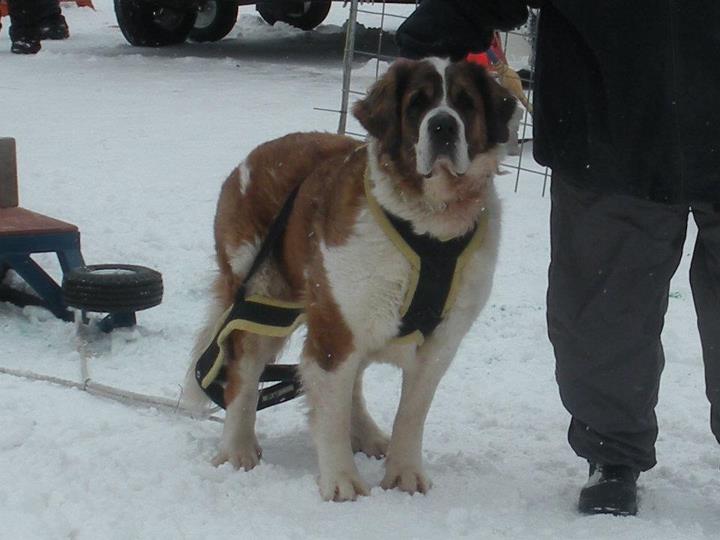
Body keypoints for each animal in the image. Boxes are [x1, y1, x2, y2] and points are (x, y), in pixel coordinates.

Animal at [183, 57, 516, 500]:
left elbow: (411, 413)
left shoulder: (439, 344)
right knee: (243, 372)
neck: (429, 223)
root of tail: (248, 163)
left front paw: (404, 475)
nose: (443, 125)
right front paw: (341, 481)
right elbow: (330, 411)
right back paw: (237, 449)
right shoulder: (334, 330)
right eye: (417, 104)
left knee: (353, 379)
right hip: (262, 297)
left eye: (464, 103)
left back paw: (369, 436)